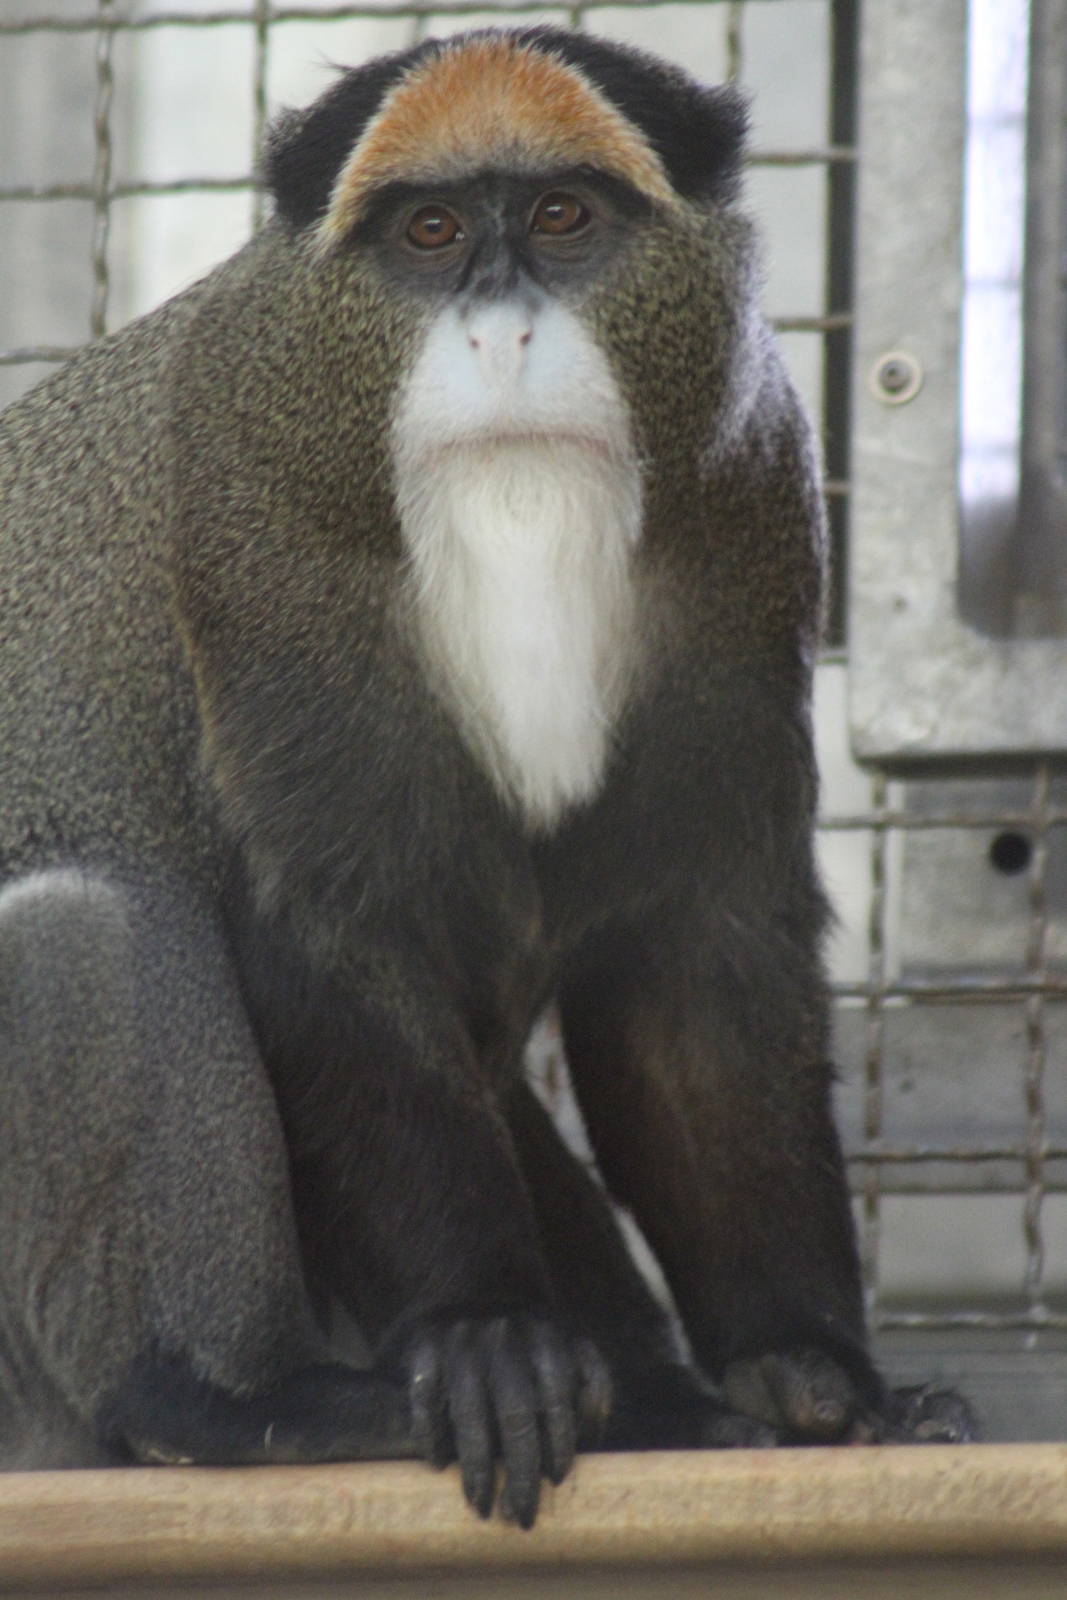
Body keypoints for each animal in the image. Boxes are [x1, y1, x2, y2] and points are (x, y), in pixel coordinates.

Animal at [0, 27, 972, 1528]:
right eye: (432, 231)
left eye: (561, 218)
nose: (501, 331)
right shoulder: (253, 515)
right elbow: (329, 932)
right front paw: (486, 1339)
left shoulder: (748, 498)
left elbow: (695, 958)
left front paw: (812, 1374)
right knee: (80, 930)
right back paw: (227, 1405)